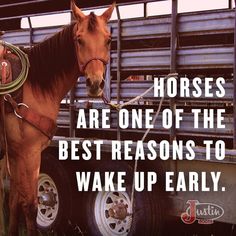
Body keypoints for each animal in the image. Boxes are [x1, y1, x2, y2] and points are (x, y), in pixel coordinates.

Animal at [0, 0, 115, 235]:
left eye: (108, 40)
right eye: (79, 40)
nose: (95, 83)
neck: (34, 86)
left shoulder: (15, 155)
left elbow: (14, 202)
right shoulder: (29, 154)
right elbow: (30, 205)